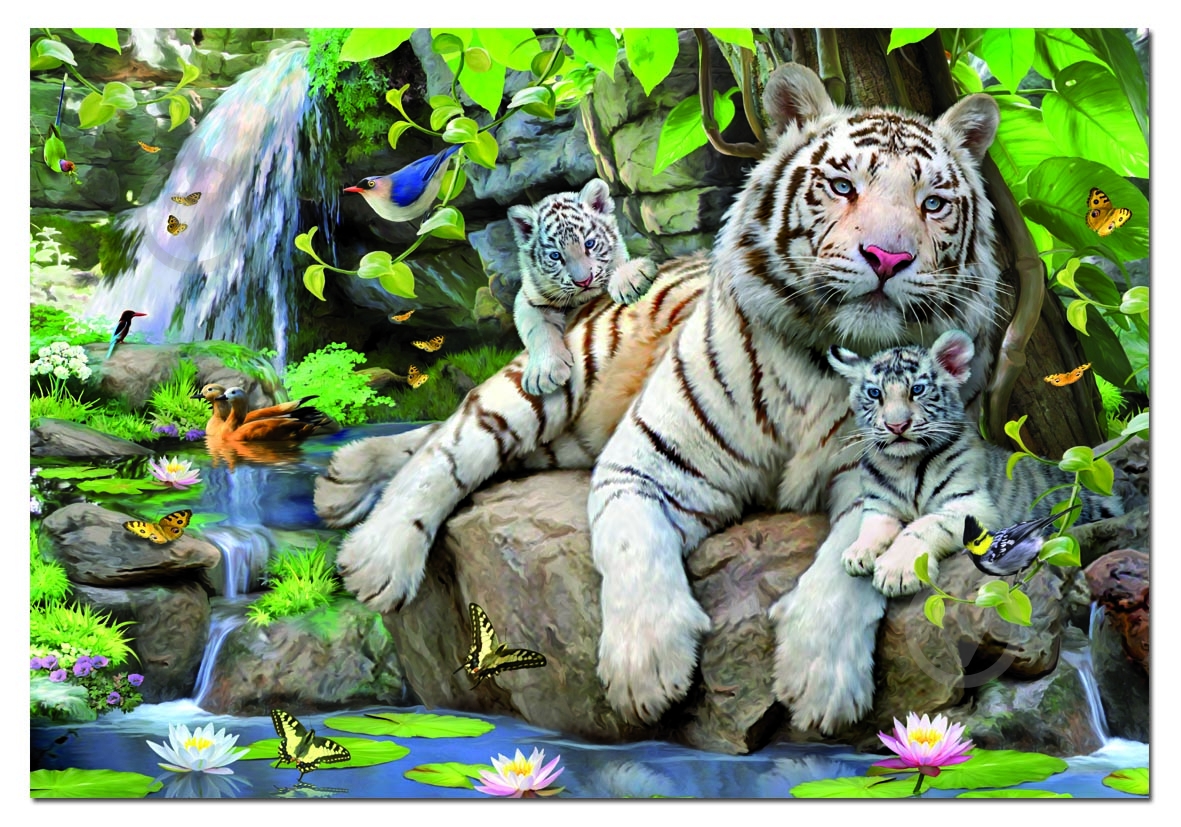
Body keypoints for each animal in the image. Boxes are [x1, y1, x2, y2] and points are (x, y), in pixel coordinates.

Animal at [509, 178, 658, 395]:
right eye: (556, 256)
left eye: (589, 244)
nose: (584, 281)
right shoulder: (528, 298)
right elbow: (538, 329)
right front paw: (544, 373)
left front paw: (630, 279)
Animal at [828, 329, 1122, 590]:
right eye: (875, 394)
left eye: (917, 390)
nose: (896, 425)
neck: (904, 465)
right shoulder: (880, 505)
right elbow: (872, 525)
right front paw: (857, 553)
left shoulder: (972, 504)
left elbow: (922, 525)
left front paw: (896, 571)